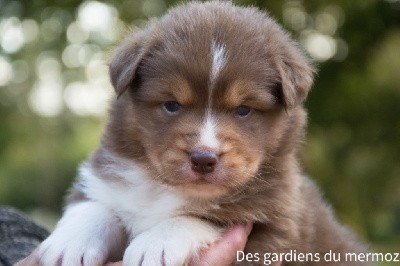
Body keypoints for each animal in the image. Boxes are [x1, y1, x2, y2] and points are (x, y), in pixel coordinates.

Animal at [37, 1, 368, 264]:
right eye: (172, 105)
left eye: (243, 110)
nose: (203, 158)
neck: (162, 188)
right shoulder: (106, 176)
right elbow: (95, 204)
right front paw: (69, 243)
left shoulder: (275, 218)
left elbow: (205, 215)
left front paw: (154, 244)